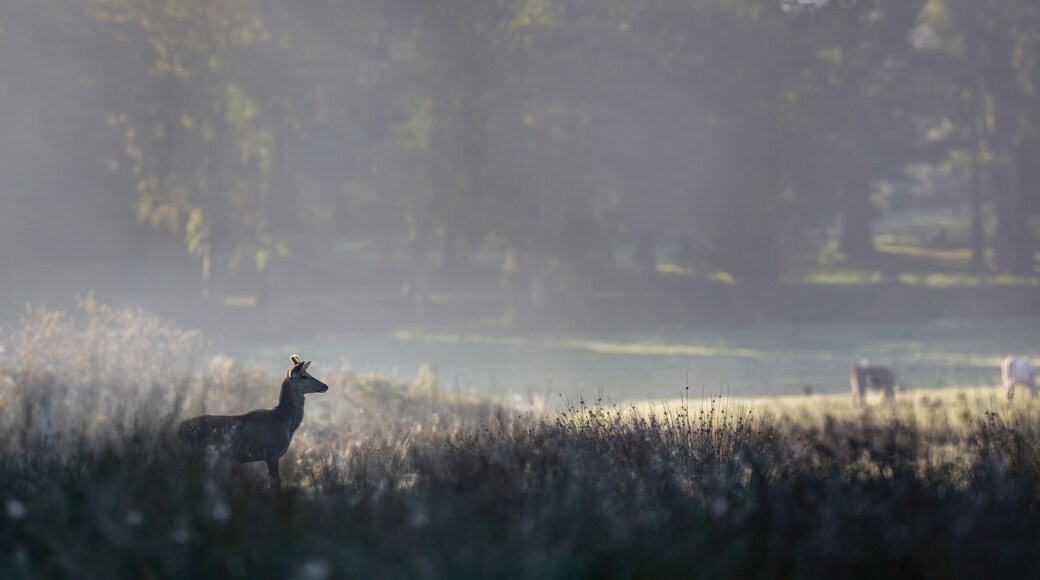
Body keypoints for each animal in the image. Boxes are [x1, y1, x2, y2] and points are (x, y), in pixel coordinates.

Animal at [178, 355, 329, 491]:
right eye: (304, 376)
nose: (325, 386)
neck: (284, 422)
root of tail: (179, 429)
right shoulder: (271, 452)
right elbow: (275, 485)